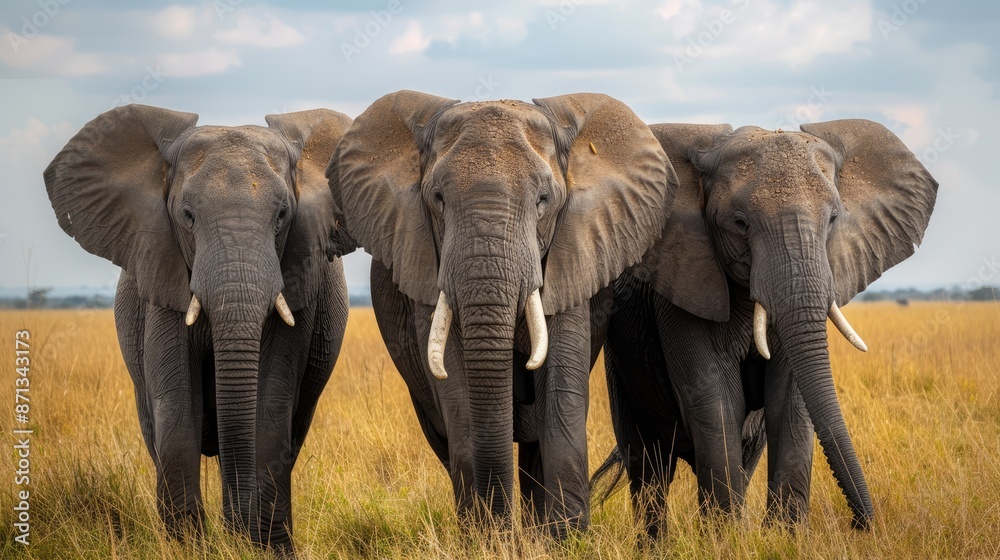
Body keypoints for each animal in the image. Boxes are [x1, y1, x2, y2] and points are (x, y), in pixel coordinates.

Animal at [43, 104, 354, 553]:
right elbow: (176, 406)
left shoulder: (301, 279)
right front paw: (189, 548)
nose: (239, 533)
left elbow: (270, 405)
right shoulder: (162, 275)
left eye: (282, 216)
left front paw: (267, 548)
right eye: (187, 216)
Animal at [328, 90, 675, 535]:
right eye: (438, 200)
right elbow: (455, 384)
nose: (498, 527)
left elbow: (560, 379)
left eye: (544, 201)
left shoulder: (575, 249)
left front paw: (567, 539)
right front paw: (485, 537)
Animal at [593, 120, 938, 537]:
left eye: (833, 220)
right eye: (740, 224)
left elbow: (788, 400)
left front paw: (782, 538)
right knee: (648, 464)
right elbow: (715, 395)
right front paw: (726, 539)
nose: (860, 525)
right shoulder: (683, 288)